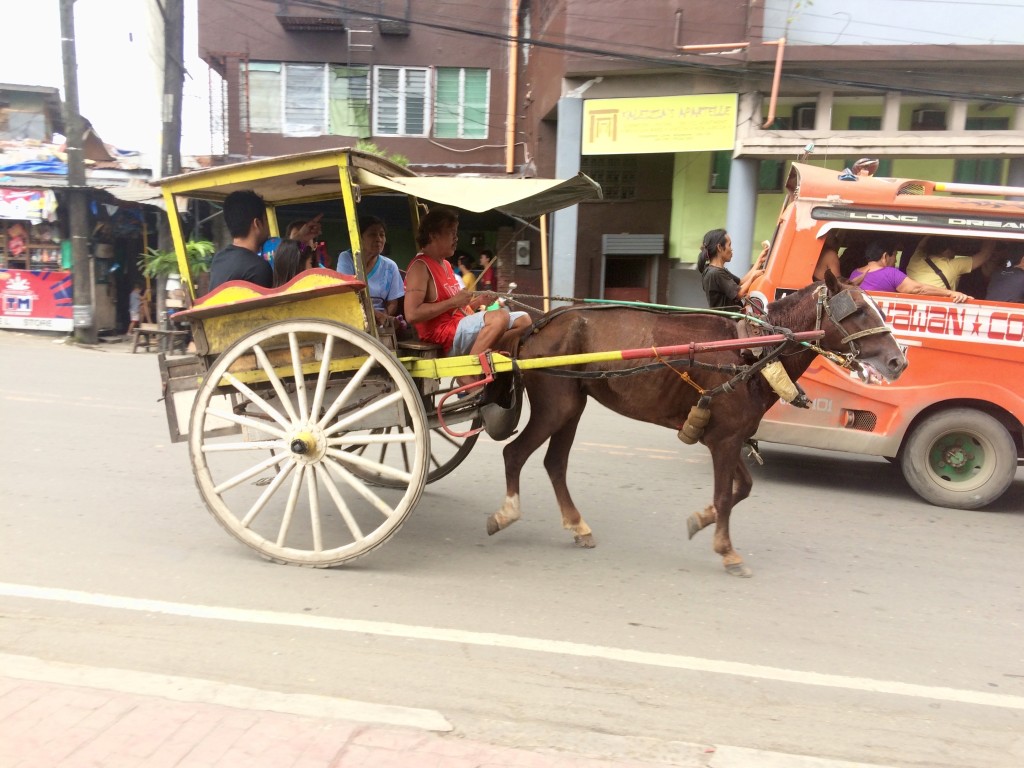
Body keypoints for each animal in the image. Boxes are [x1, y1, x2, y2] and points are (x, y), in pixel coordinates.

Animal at [491, 270, 909, 577]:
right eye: (857, 310)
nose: (898, 361)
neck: (755, 349)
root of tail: (535, 326)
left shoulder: (730, 436)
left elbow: (743, 488)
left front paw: (700, 519)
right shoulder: (724, 440)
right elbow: (726, 496)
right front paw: (727, 551)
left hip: (573, 405)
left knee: (554, 463)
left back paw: (577, 525)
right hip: (556, 405)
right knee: (514, 454)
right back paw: (506, 513)